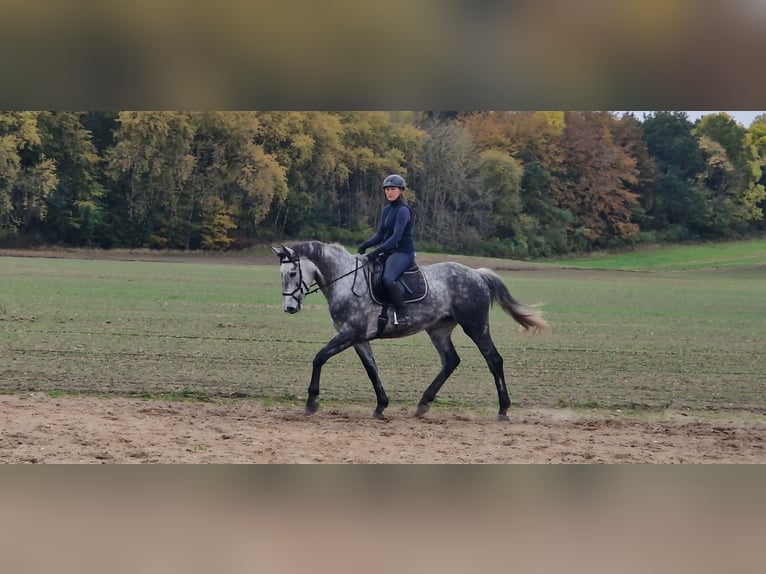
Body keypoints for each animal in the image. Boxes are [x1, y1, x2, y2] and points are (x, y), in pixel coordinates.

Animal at [272, 241, 549, 421]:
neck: (345, 281)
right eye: (281, 274)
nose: (289, 308)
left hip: (476, 327)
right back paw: (423, 403)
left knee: (494, 360)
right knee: (451, 361)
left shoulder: (349, 334)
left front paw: (311, 401)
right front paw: (381, 406)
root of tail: (477, 274)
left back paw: (503, 410)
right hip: (438, 329)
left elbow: (319, 358)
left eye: (293, 272)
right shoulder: (358, 338)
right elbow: (372, 369)